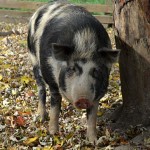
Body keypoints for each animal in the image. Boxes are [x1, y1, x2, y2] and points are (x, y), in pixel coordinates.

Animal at [27, 0, 119, 142]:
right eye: (71, 68)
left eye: (96, 71)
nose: (82, 99)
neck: (85, 44)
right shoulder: (53, 83)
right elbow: (55, 104)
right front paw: (53, 133)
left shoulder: (99, 92)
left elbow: (92, 115)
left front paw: (94, 141)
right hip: (34, 59)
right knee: (41, 88)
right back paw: (41, 118)